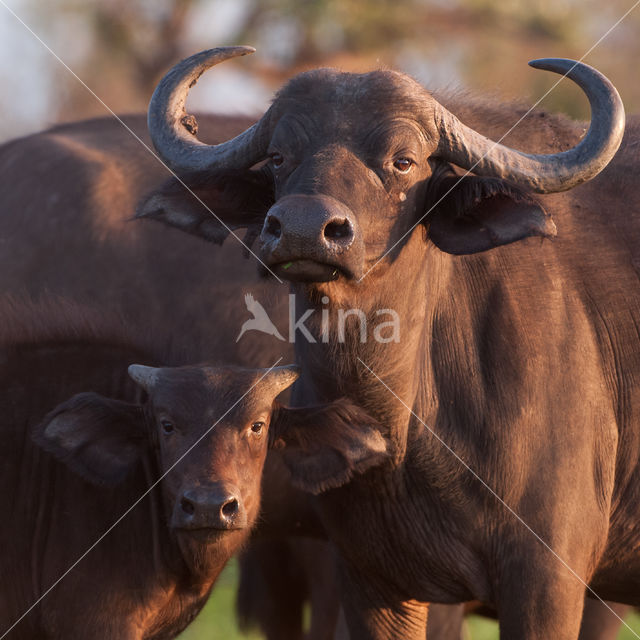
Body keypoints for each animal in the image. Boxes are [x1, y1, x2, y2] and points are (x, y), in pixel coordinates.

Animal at [139, 48, 636, 640]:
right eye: (280, 156)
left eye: (403, 161)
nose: (302, 228)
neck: (404, 432)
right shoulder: (370, 580)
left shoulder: (547, 581)